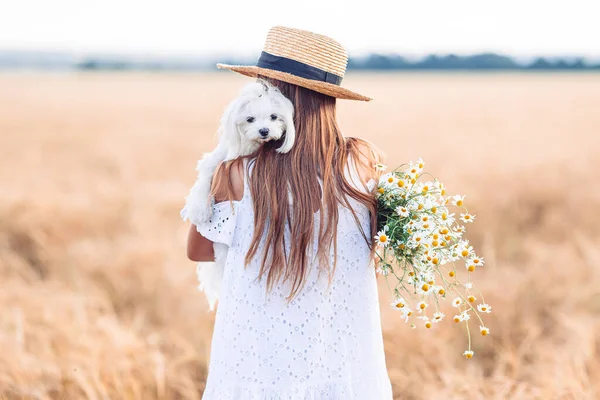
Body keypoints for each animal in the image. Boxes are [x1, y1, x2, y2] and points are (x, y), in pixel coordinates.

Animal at [182, 78, 296, 310]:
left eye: (274, 116)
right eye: (250, 119)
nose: (264, 130)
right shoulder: (218, 159)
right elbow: (205, 175)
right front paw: (199, 208)